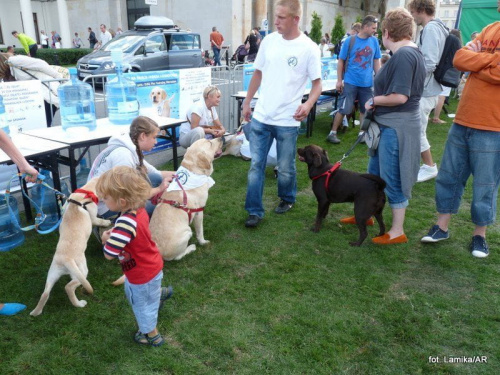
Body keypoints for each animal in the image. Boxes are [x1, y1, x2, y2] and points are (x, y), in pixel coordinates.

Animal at [30, 178, 111, 316]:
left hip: (53, 273)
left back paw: (36, 312)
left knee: (45, 293)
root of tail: (66, 260)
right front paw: (107, 222)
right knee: (69, 287)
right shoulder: (93, 217)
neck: (85, 193)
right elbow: (99, 221)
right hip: (82, 271)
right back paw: (79, 304)